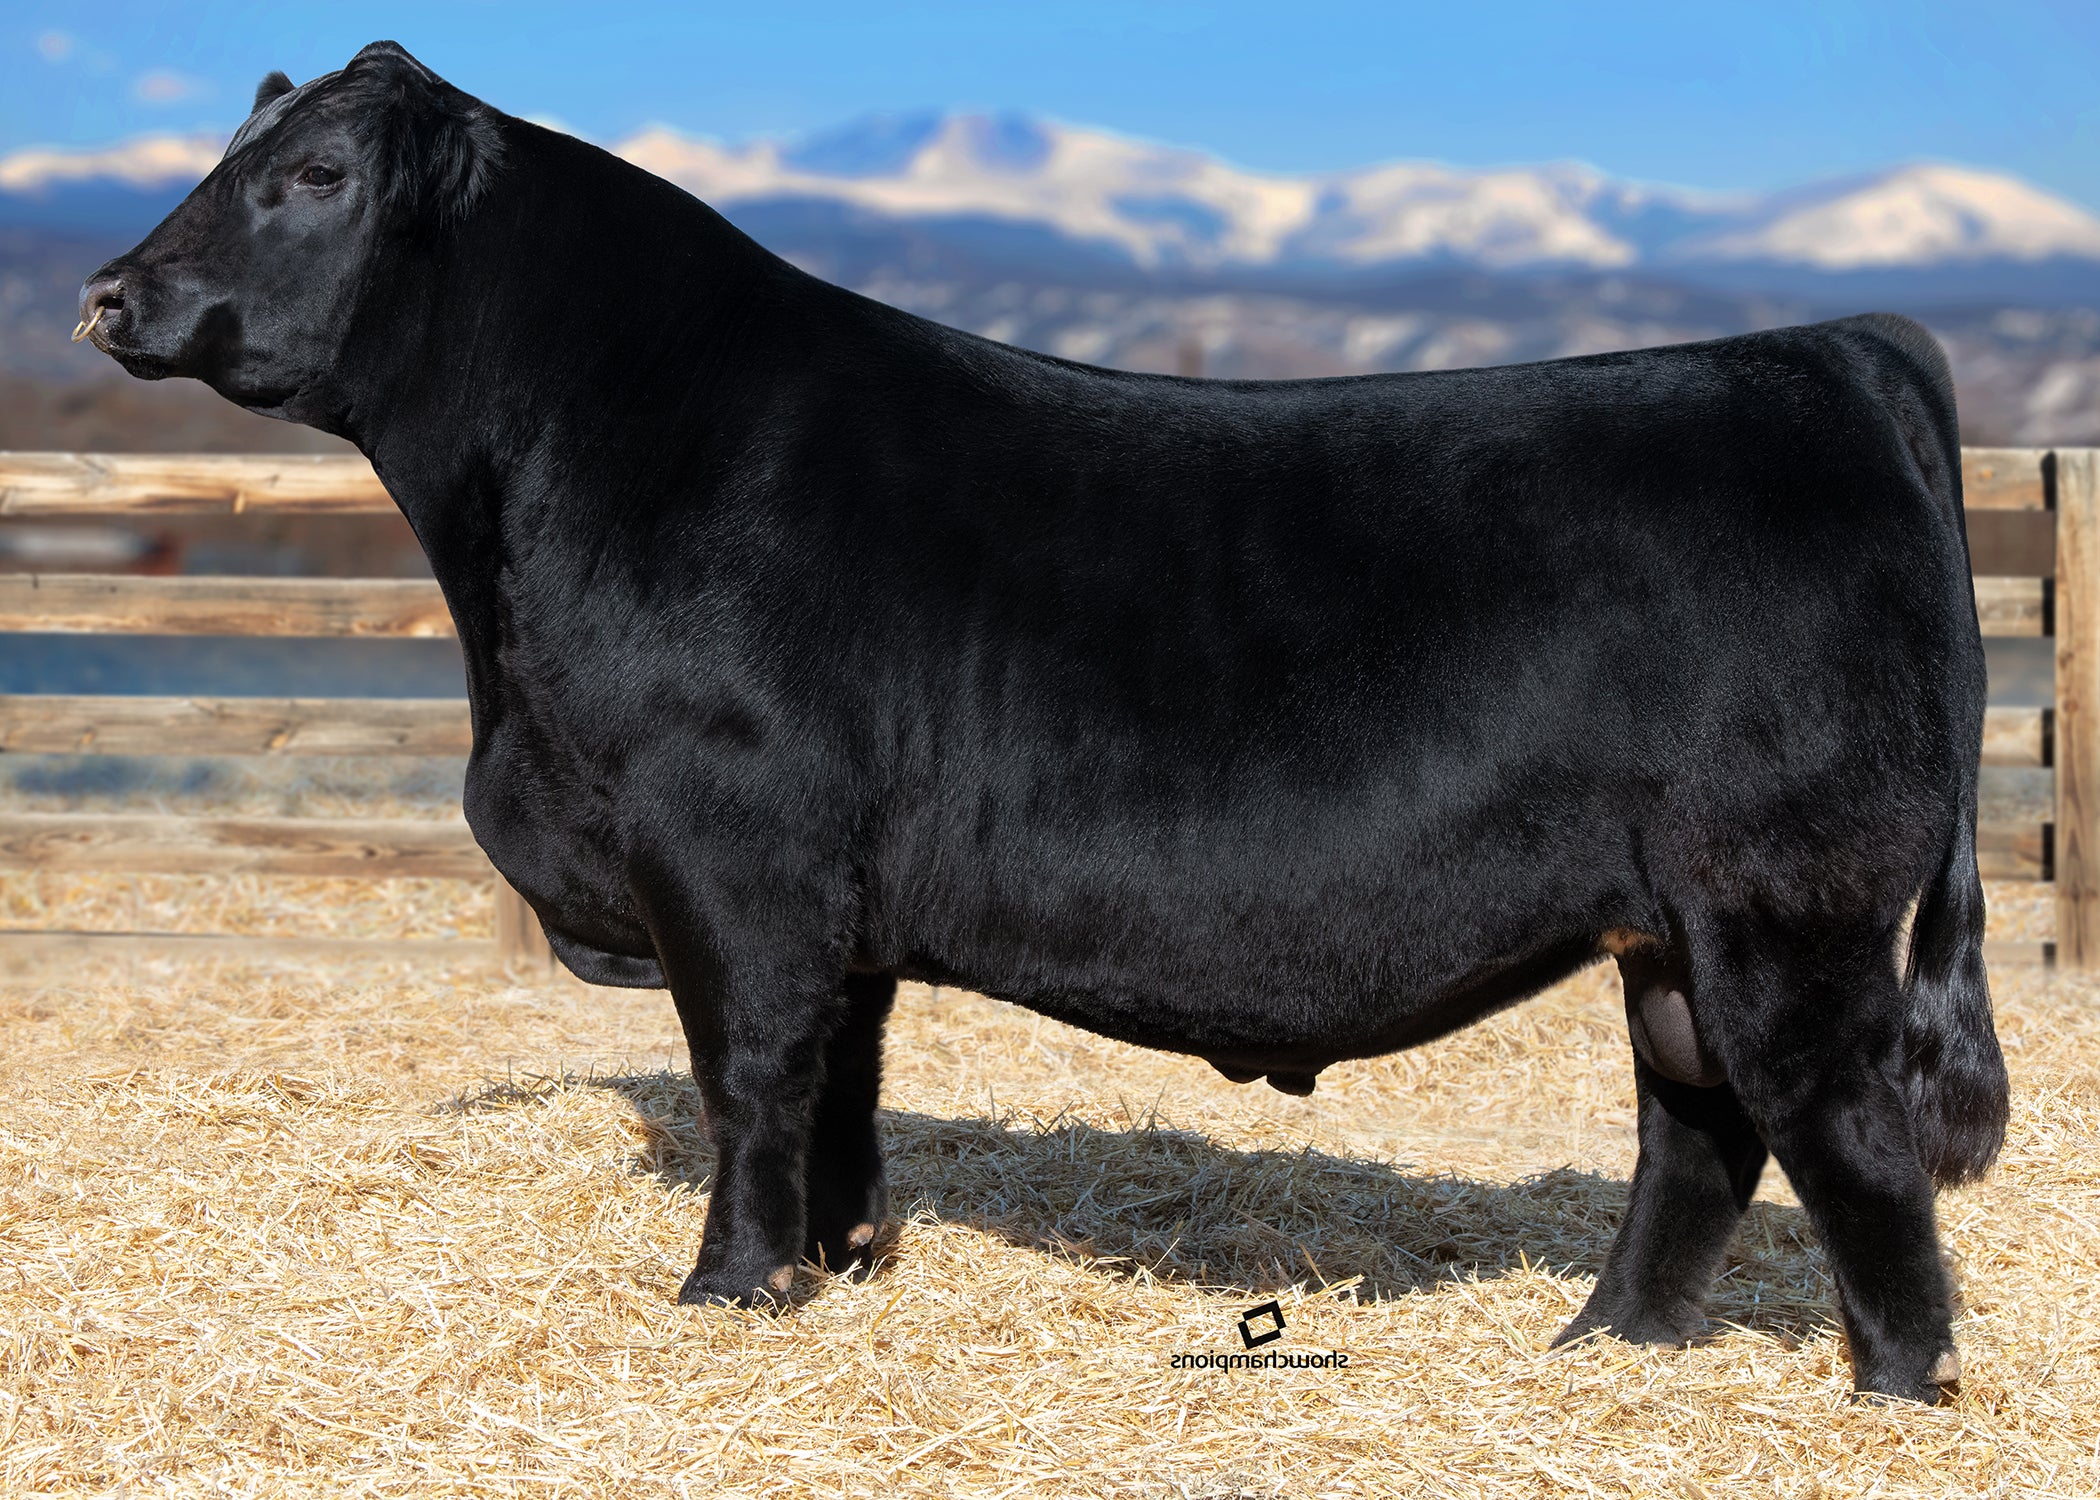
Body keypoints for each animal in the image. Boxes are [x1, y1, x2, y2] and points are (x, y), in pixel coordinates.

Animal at [76, 41, 2008, 1404]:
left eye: (314, 174)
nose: (107, 294)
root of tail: (1833, 351)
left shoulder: (730, 860)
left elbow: (748, 1078)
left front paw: (727, 1289)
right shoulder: (835, 908)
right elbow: (842, 1091)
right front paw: (838, 1267)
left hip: (1789, 909)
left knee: (1843, 1133)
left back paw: (1895, 1389)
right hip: (1673, 925)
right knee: (1701, 1126)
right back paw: (1608, 1344)